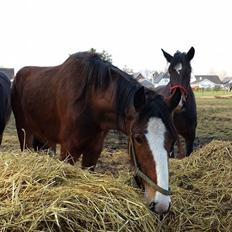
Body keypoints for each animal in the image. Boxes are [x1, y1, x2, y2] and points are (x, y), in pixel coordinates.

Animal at [11, 52, 181, 214]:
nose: (161, 204)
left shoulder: (94, 150)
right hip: (24, 134)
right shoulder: (68, 150)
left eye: (173, 140)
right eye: (138, 138)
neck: (90, 100)